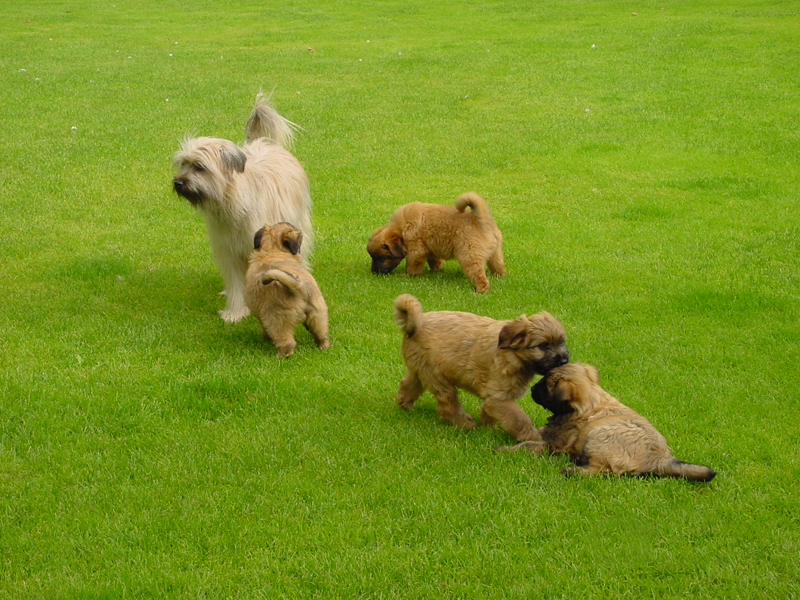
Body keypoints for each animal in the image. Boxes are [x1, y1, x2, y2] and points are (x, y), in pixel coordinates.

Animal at [173, 93, 313, 323]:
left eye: (199, 167)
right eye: (183, 164)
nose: (177, 183)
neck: (234, 200)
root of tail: (264, 142)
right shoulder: (228, 249)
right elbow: (235, 282)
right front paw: (235, 312)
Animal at [243, 222, 328, 357]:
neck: (272, 251)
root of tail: (298, 287)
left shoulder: (262, 317)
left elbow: (264, 329)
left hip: (276, 319)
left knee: (287, 342)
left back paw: (280, 355)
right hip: (318, 313)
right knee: (321, 334)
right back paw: (322, 346)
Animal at [367, 192, 505, 293]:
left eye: (382, 258)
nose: (373, 272)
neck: (401, 228)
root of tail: (481, 220)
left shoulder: (415, 250)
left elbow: (411, 266)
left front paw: (407, 275)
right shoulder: (430, 249)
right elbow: (434, 261)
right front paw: (435, 270)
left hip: (469, 256)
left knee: (479, 276)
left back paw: (480, 290)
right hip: (495, 253)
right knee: (498, 267)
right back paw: (498, 277)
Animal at [393, 294, 569, 440]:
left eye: (562, 342)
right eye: (544, 346)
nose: (564, 360)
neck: (512, 353)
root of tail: (415, 324)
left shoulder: (492, 395)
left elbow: (489, 410)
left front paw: (488, 426)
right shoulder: (499, 396)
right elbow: (519, 418)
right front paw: (532, 436)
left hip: (421, 369)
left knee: (408, 385)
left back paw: (405, 405)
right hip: (437, 376)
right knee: (448, 404)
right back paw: (465, 424)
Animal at [496, 363, 716, 481]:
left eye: (546, 386)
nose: (533, 389)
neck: (590, 404)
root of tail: (659, 459)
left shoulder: (555, 444)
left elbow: (529, 444)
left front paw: (506, 449)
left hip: (597, 437)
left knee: (604, 470)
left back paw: (573, 470)